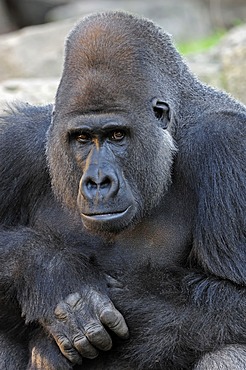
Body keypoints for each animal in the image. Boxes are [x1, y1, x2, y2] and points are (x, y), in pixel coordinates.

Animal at [0, 10, 246, 368]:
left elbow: (237, 300)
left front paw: (127, 299)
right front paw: (54, 277)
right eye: (82, 138)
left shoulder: (227, 144)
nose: (98, 182)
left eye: (117, 135)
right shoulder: (17, 143)